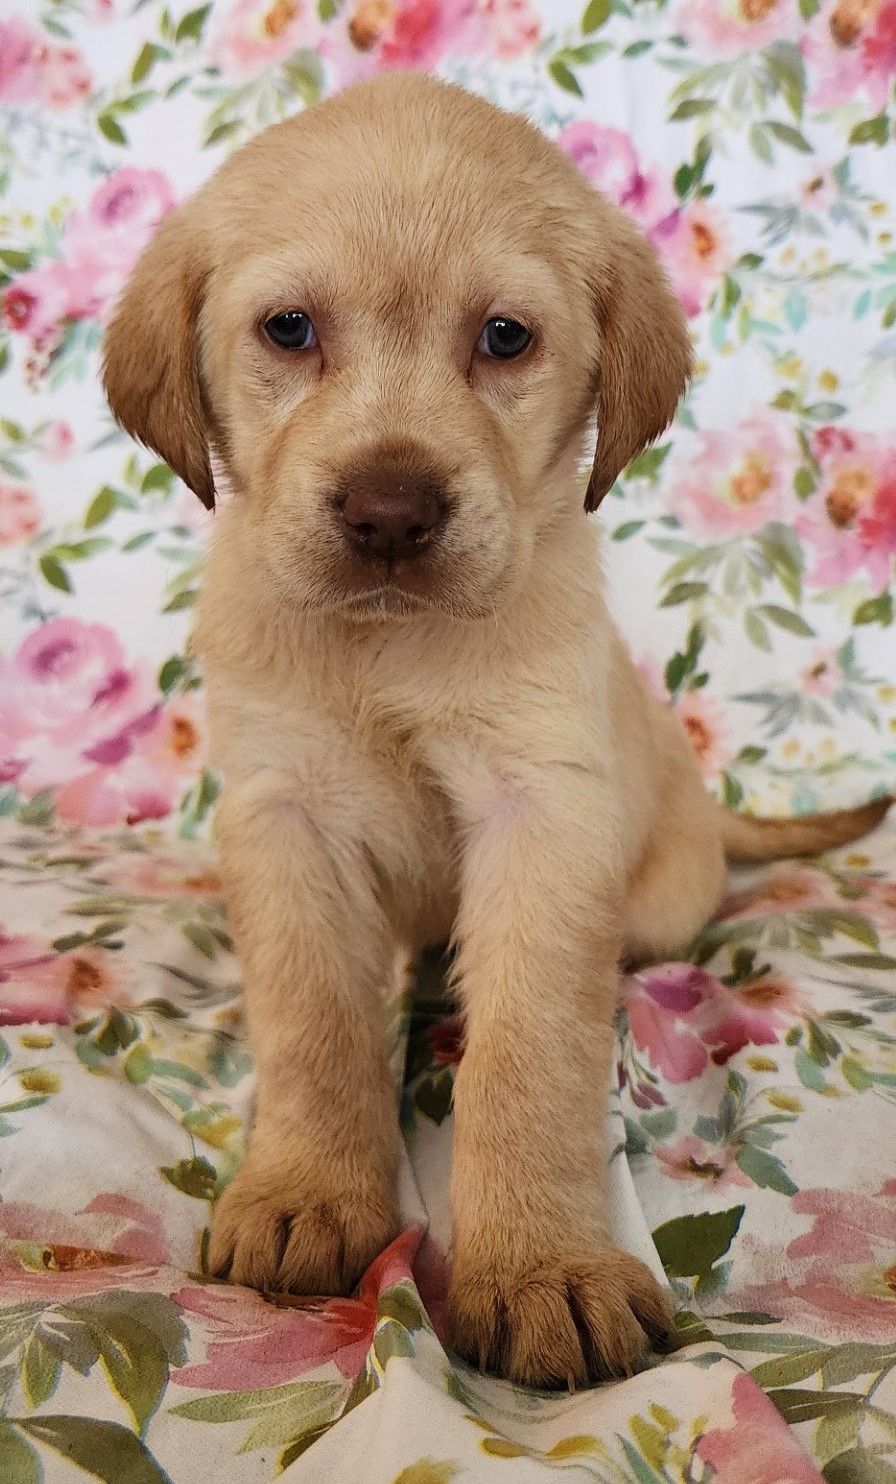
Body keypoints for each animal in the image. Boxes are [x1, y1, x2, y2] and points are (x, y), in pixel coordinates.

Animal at [103, 75, 890, 1383]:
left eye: (505, 339)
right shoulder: (283, 814)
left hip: (653, 899)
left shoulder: (543, 812)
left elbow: (528, 1056)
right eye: (288, 330)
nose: (388, 511)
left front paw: (538, 1267)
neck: (388, 649)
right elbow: (311, 1022)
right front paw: (306, 1190)